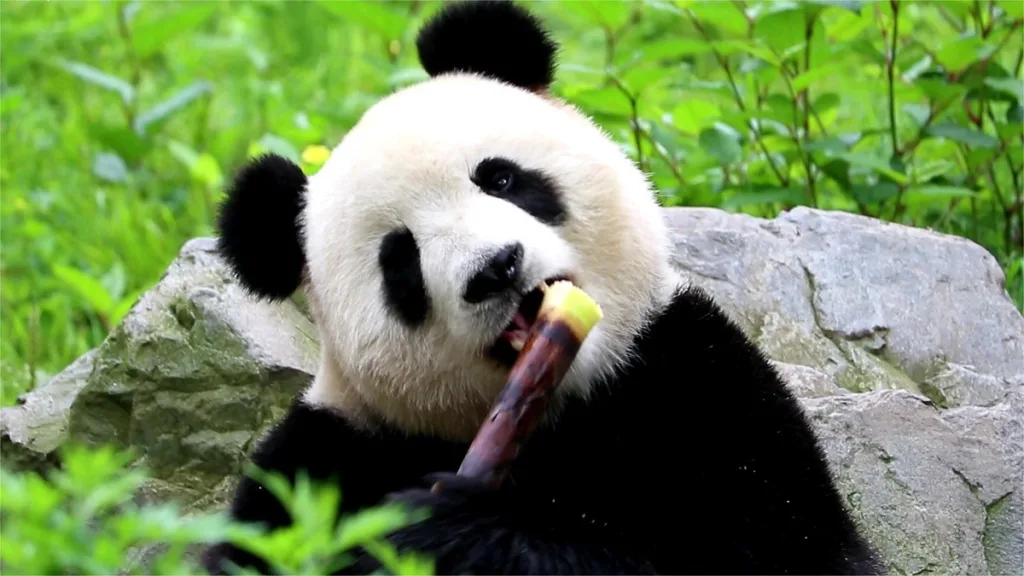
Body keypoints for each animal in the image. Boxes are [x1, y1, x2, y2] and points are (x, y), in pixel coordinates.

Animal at [201, 1, 881, 574]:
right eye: (400, 261)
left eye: (500, 178)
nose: (496, 268)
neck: (559, 406)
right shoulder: (325, 457)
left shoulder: (702, 381)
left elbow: (772, 547)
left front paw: (447, 531)